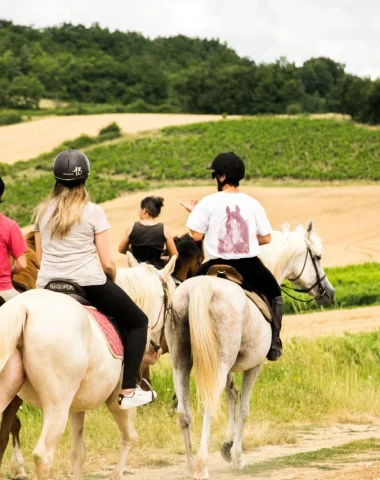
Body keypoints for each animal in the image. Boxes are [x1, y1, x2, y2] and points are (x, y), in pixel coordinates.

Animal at [0, 256, 177, 480]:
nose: (158, 349)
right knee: (43, 456)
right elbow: (131, 438)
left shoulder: (78, 404)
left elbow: (78, 453)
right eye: (169, 305)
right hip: (56, 406)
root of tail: (24, 308)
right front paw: (116, 475)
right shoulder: (116, 401)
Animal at [166, 220, 336, 476]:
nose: (329, 292)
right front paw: (237, 456)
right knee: (209, 408)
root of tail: (200, 289)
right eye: (318, 256)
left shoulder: (226, 369)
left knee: (183, 413)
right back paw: (202, 466)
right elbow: (244, 408)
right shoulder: (254, 365)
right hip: (216, 365)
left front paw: (227, 446)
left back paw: (189, 464)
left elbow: (232, 395)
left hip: (181, 363)